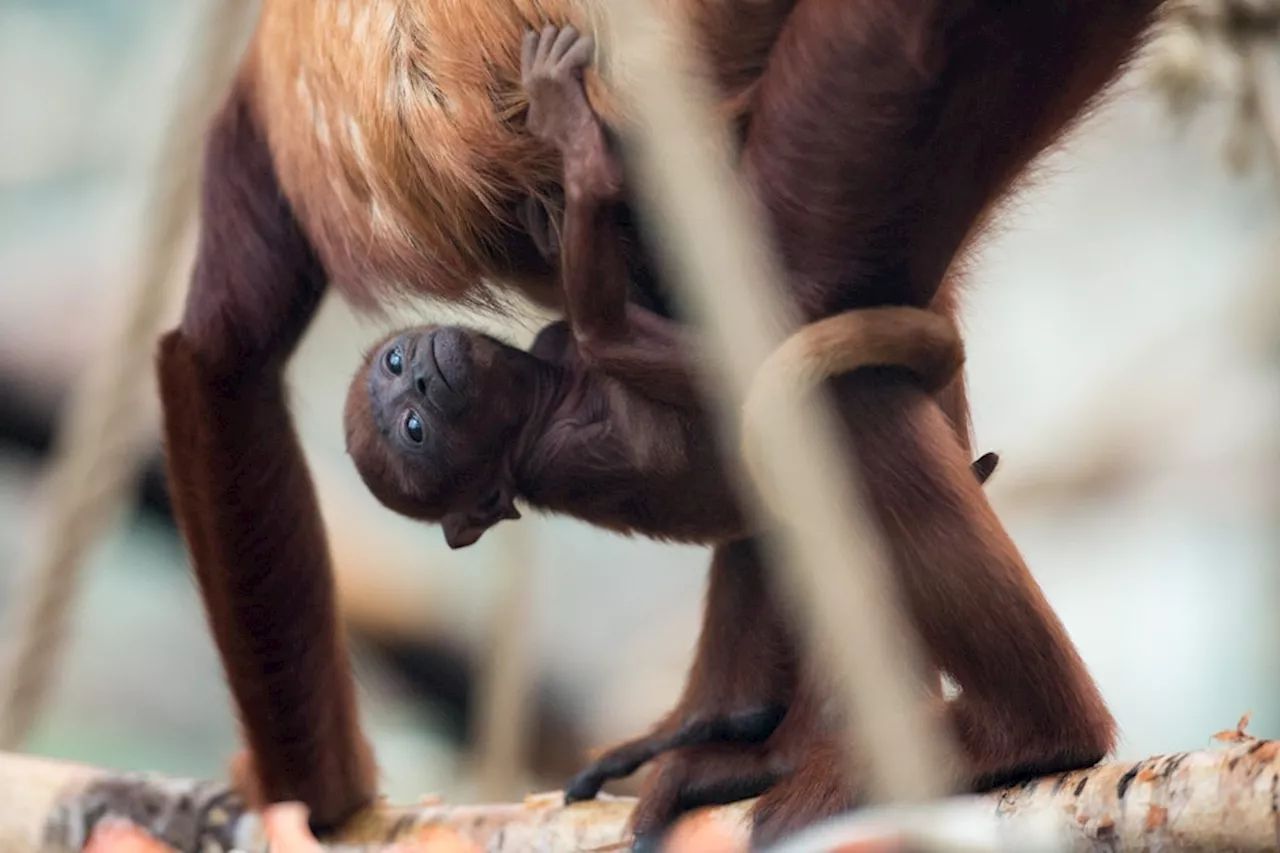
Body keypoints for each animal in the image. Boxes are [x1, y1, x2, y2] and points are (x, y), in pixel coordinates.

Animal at [154, 3, 1167, 845]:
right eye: (409, 430)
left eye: (403, 379)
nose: (423, 376)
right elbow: (225, 356)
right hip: (885, 78)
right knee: (824, 384)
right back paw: (1009, 731)